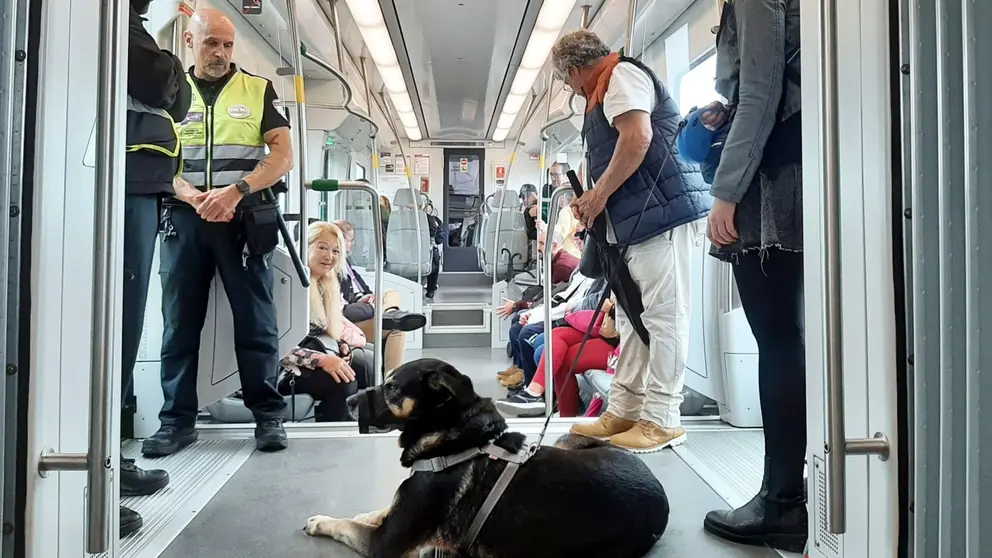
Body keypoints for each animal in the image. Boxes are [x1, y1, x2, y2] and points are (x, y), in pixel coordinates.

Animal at [304, 358, 676, 558]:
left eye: (392, 388)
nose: (349, 402)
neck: (450, 438)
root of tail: (660, 494)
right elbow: (379, 509)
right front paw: (368, 512)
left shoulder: (385, 543)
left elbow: (346, 525)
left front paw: (321, 521)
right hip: (569, 440)